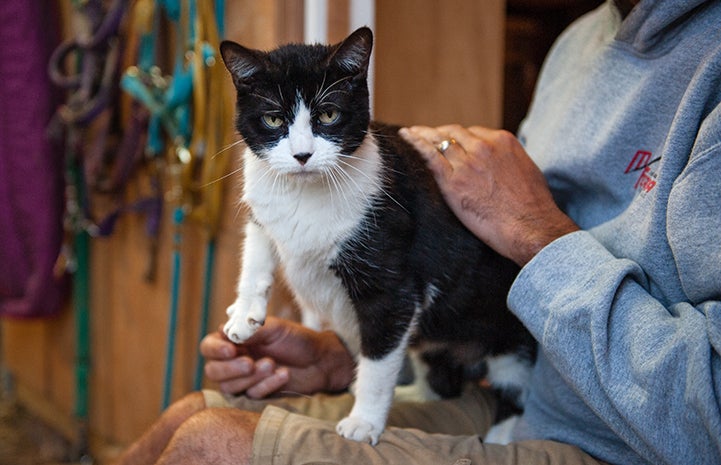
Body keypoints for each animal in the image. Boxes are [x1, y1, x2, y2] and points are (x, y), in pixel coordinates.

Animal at [219, 27, 536, 444]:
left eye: (329, 114)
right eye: (272, 119)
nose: (302, 155)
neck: (305, 192)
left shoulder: (391, 282)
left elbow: (378, 358)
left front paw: (364, 421)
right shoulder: (263, 202)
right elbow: (256, 250)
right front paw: (244, 314)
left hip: (507, 334)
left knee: (514, 389)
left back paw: (499, 436)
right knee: (442, 381)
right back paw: (414, 394)